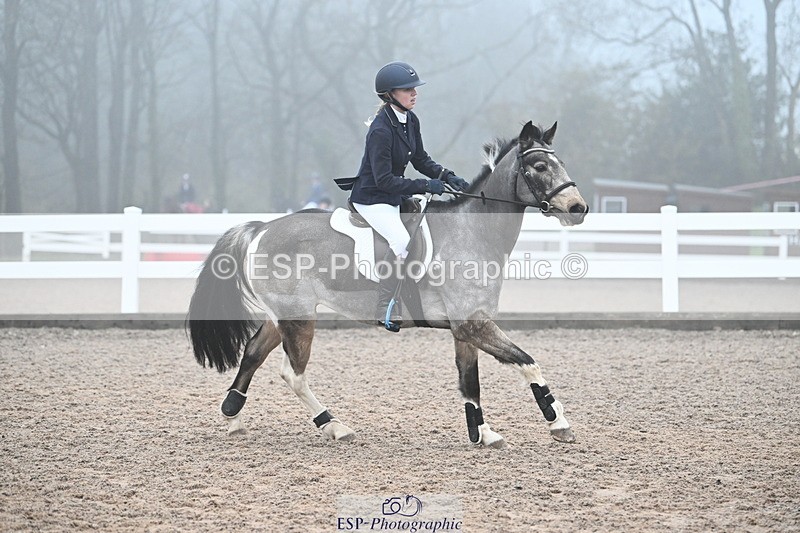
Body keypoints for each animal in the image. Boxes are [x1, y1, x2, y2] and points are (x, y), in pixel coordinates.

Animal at [188, 120, 588, 448]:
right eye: (540, 167)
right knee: (293, 374)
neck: (472, 232)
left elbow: (469, 381)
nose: (578, 209)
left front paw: (483, 433)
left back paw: (233, 417)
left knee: (253, 353)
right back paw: (335, 427)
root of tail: (261, 228)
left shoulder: (466, 328)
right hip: (298, 319)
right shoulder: (473, 324)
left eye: (561, 163)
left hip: (282, 316)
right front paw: (558, 422)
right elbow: (528, 363)